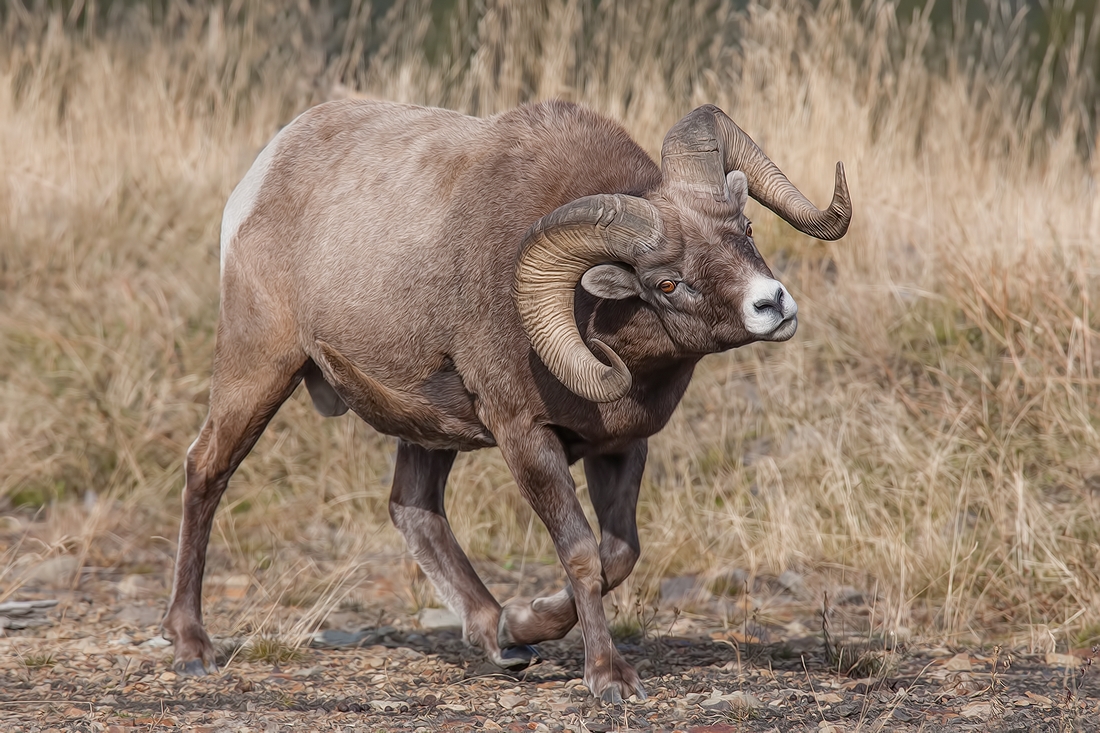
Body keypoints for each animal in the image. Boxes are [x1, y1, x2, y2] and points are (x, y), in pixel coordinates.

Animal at [160, 100, 849, 699]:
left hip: (426, 429)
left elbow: (618, 555)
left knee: (414, 509)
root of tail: (261, 174)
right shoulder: (526, 438)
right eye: (666, 283)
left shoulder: (621, 447)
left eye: (745, 228)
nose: (772, 305)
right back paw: (192, 646)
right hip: (258, 370)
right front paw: (609, 679)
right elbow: (580, 555)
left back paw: (499, 637)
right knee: (207, 469)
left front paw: (525, 622)